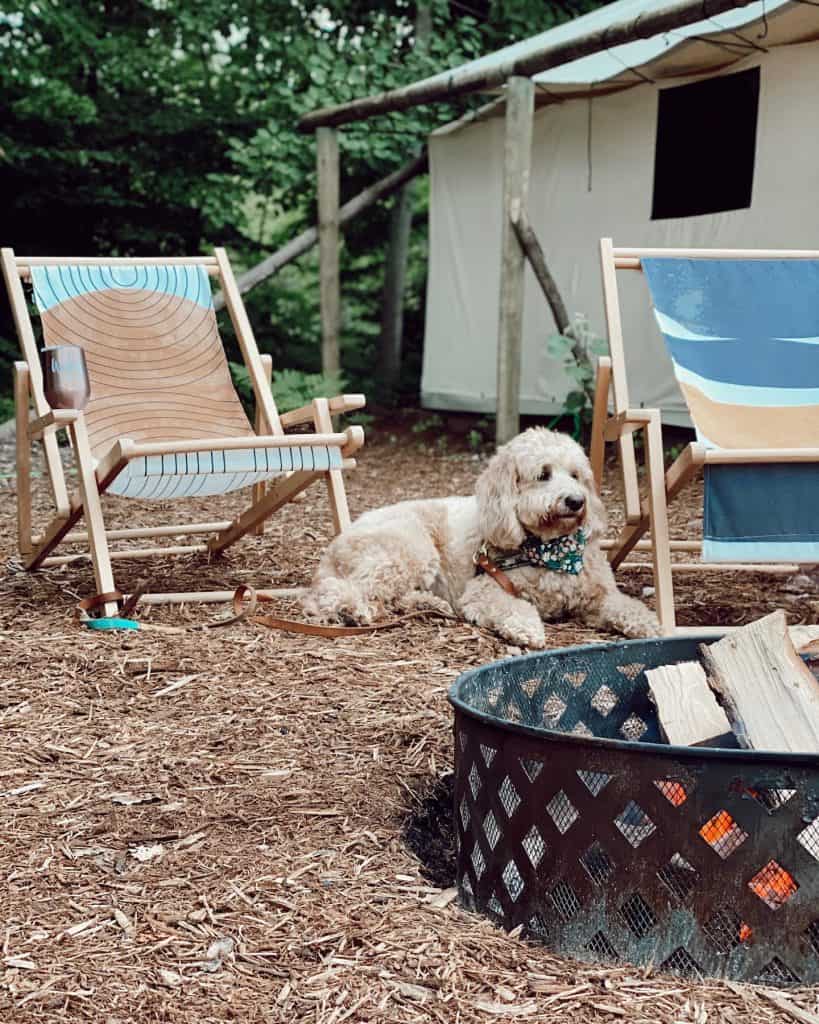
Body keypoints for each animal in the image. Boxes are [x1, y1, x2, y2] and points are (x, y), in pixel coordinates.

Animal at [303, 428, 663, 643]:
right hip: (409, 548)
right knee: (337, 589)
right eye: (543, 474)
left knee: (391, 595)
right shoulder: (483, 590)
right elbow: (514, 608)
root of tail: (338, 542)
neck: (551, 550)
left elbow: (628, 606)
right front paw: (527, 628)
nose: (576, 501)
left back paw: (430, 603)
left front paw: (653, 625)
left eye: (577, 475)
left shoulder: (600, 597)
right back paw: (352, 610)